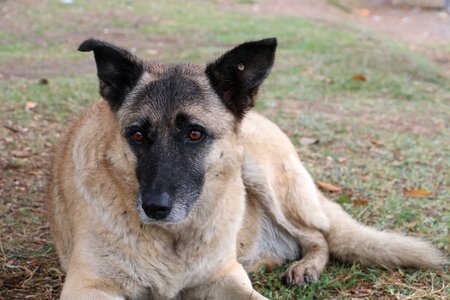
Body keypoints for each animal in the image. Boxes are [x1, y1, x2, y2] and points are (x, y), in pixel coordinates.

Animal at [47, 38, 444, 298]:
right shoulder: (89, 286)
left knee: (320, 237)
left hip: (261, 174)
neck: (173, 238)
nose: (155, 208)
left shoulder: (225, 278)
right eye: (138, 135)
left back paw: (305, 267)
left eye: (195, 133)